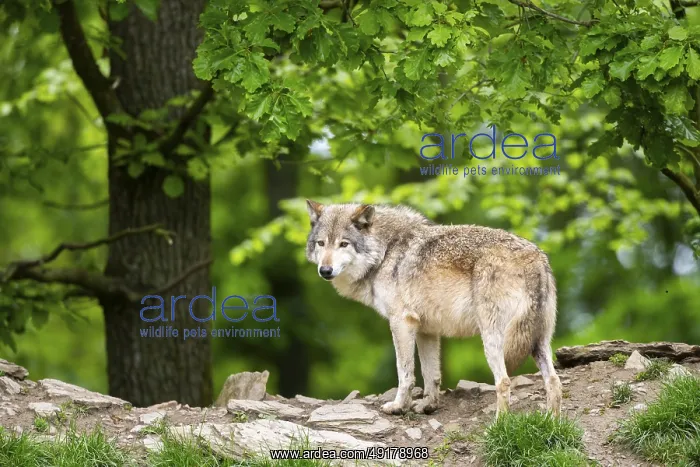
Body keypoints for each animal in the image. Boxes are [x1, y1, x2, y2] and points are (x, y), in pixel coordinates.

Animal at [305, 200, 562, 417]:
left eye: (343, 244)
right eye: (321, 243)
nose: (325, 270)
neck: (385, 252)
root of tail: (535, 258)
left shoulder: (401, 322)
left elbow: (405, 373)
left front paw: (398, 407)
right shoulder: (427, 330)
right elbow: (432, 375)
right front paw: (428, 406)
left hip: (493, 340)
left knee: (504, 382)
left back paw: (499, 426)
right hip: (538, 342)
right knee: (554, 382)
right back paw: (551, 425)